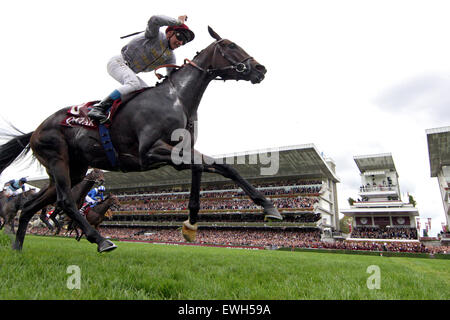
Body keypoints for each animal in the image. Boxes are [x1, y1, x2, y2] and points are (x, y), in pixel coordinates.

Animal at [0, 26, 282, 252]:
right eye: (230, 45)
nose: (260, 69)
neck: (175, 99)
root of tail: (35, 130)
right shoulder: (149, 152)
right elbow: (202, 166)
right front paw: (191, 221)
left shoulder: (181, 150)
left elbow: (219, 166)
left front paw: (268, 206)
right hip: (57, 158)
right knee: (65, 200)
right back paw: (100, 240)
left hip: (74, 170)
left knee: (30, 207)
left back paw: (18, 248)